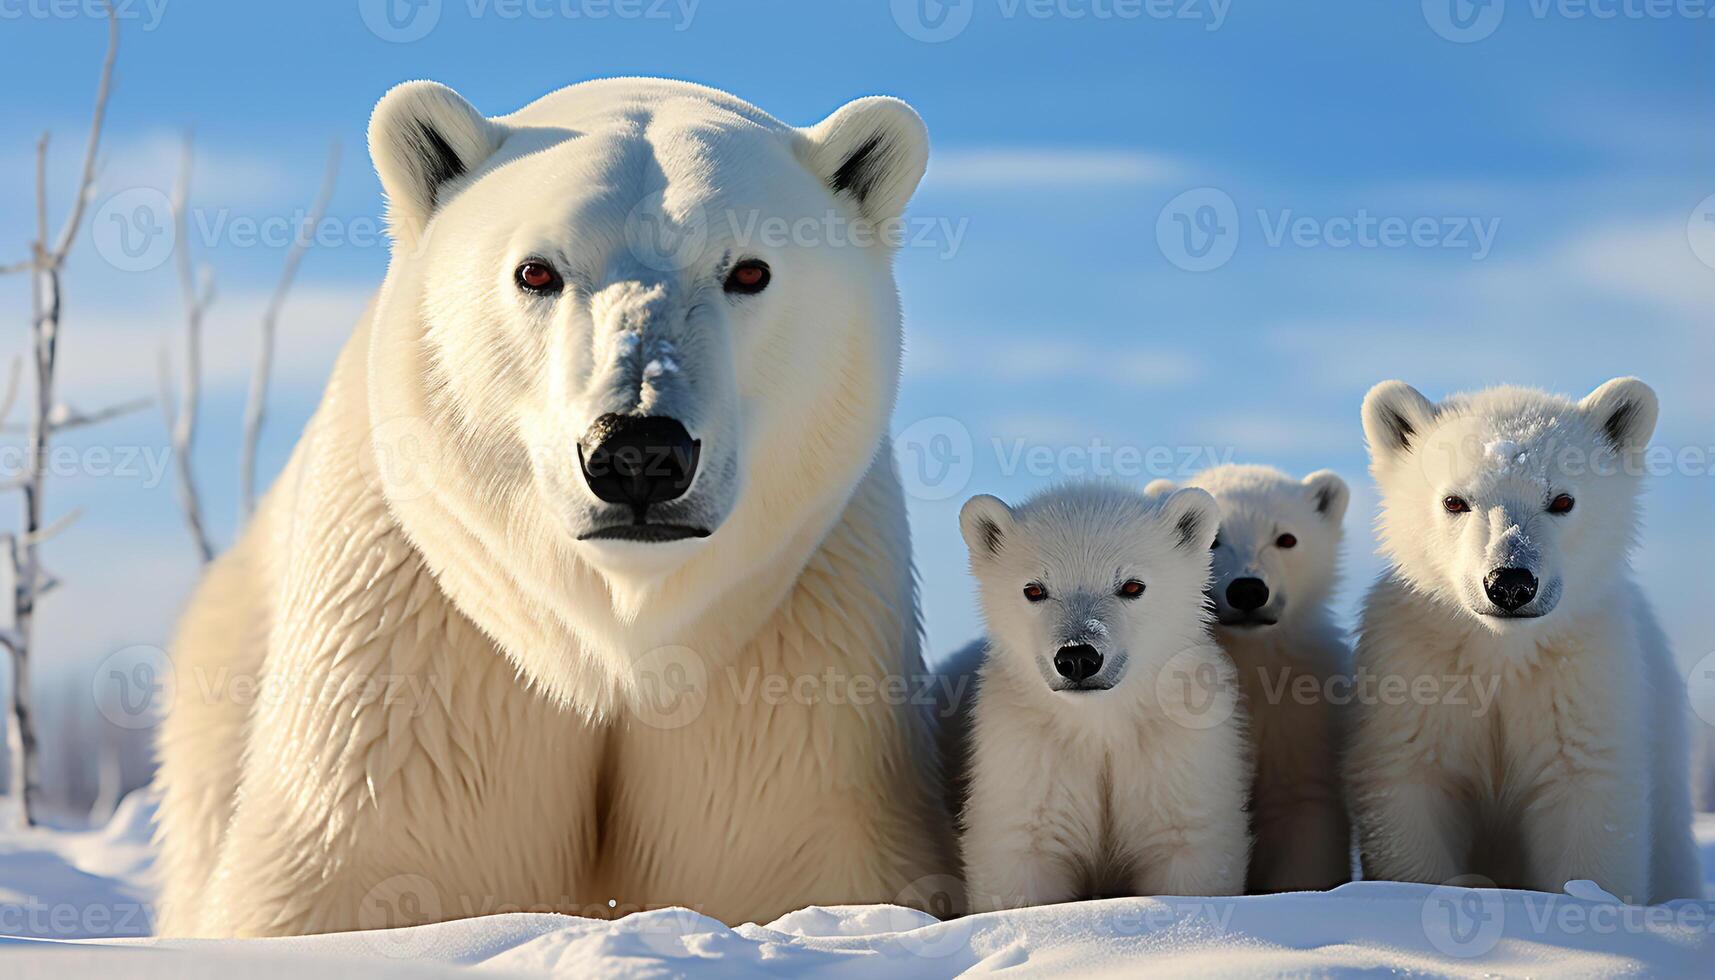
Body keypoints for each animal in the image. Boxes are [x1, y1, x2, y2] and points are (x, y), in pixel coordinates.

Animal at [157, 76, 953, 933]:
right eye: (536, 272)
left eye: (748, 271)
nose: (638, 453)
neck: (613, 635)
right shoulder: (409, 653)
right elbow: (360, 872)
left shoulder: (799, 652)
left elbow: (800, 860)